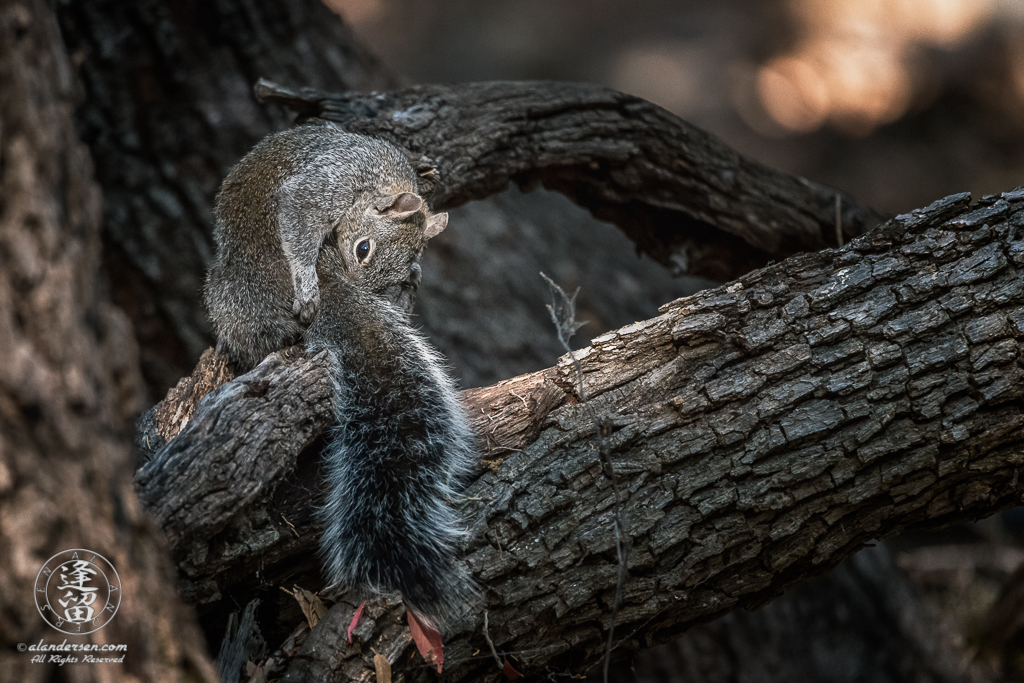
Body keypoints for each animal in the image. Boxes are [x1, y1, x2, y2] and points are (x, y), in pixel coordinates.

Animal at [206, 124, 479, 630]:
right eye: (363, 248)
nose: (363, 285)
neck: (381, 180)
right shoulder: (330, 184)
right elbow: (296, 212)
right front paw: (306, 279)